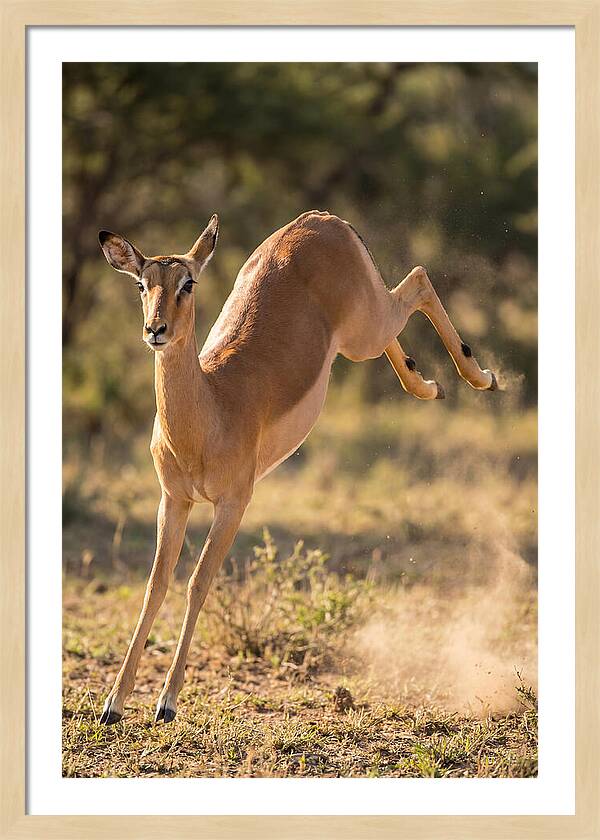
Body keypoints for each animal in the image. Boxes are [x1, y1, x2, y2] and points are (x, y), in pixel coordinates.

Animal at [98, 210, 497, 725]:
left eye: (188, 282)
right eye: (142, 284)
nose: (155, 330)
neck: (210, 409)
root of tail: (322, 219)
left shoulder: (233, 503)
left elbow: (198, 582)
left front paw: (166, 702)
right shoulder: (174, 499)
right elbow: (154, 586)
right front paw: (113, 703)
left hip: (365, 329)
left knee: (419, 279)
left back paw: (481, 377)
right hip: (361, 334)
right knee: (405, 310)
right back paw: (429, 385)